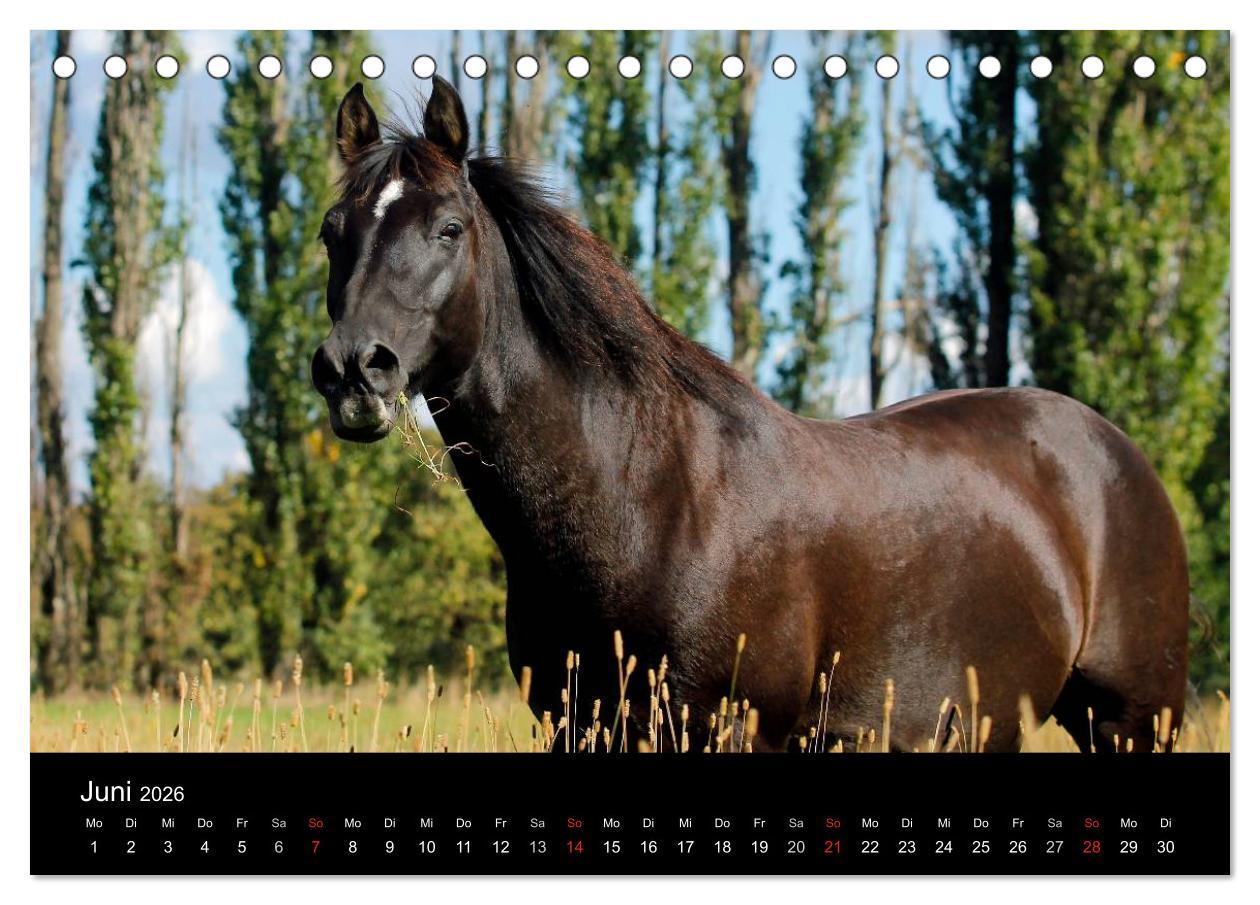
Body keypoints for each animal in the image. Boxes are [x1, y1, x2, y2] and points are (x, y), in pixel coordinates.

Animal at [311, 78, 1188, 753]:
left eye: (448, 228)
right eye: (331, 231)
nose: (354, 369)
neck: (643, 498)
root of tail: (1115, 452)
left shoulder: (723, 728)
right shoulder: (577, 724)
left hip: (1134, 722)